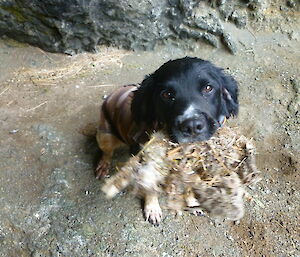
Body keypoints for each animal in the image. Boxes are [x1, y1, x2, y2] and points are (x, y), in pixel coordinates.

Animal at [96, 56, 239, 224]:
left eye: (208, 88)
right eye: (166, 94)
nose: (192, 126)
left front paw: (192, 202)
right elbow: (150, 186)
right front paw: (152, 208)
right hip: (105, 135)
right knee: (106, 152)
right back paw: (103, 166)